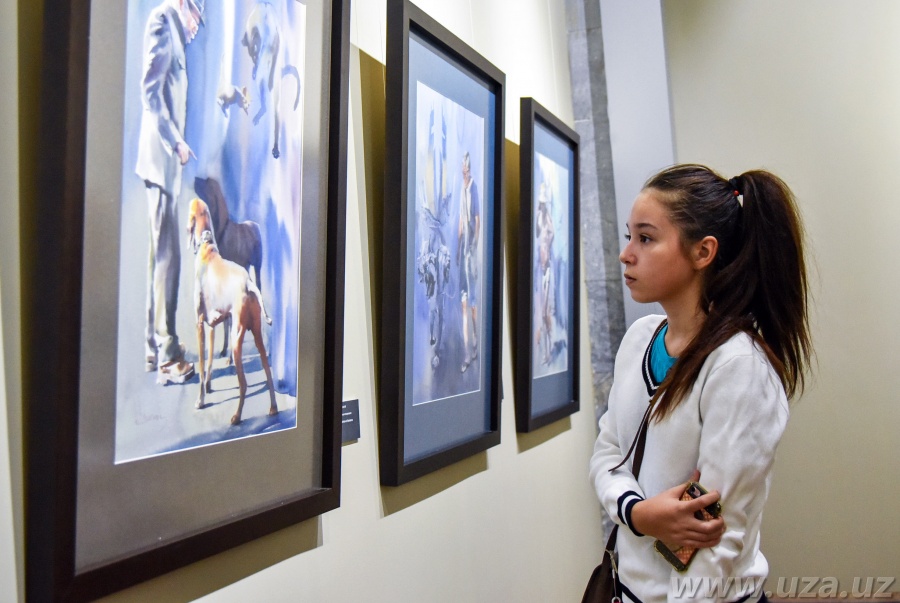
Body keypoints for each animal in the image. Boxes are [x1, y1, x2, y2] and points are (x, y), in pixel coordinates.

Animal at [188, 211, 276, 425]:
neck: (208, 249)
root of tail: (248, 283)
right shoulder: (212, 325)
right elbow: (210, 360)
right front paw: (209, 386)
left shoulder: (200, 325)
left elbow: (202, 365)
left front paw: (201, 400)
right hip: (257, 335)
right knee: (268, 371)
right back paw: (273, 408)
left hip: (237, 341)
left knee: (243, 383)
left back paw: (237, 417)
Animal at [191, 178, 263, 359]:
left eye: (207, 182)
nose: (195, 178)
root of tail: (254, 224)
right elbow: (225, 321)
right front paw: (225, 349)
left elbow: (229, 321)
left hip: (257, 267)